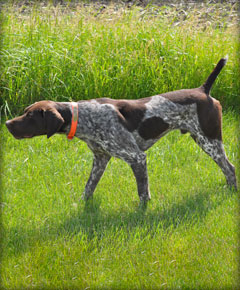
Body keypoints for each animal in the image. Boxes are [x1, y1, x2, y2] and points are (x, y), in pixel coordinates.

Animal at [5, 56, 236, 202]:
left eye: (30, 116)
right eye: (25, 112)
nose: (7, 124)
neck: (84, 117)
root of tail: (203, 90)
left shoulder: (137, 158)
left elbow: (143, 193)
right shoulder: (100, 159)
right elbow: (88, 187)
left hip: (210, 140)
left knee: (230, 168)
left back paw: (232, 191)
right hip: (204, 139)